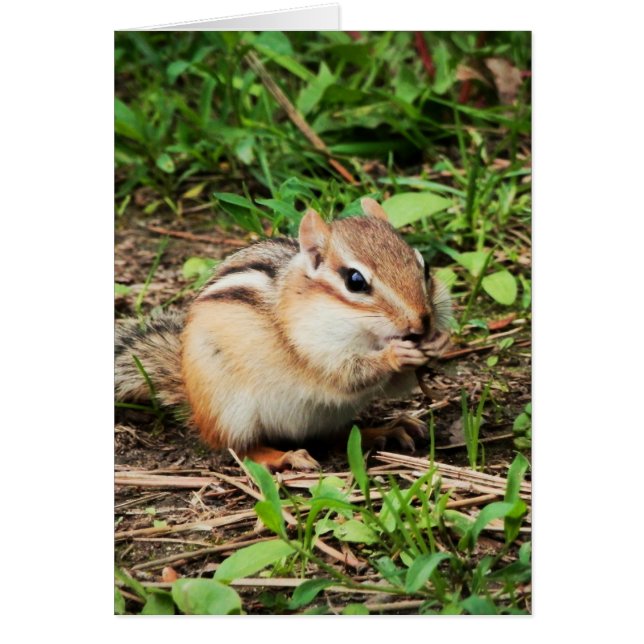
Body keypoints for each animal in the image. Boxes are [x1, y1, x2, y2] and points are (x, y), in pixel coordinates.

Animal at [115, 198, 452, 471]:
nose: (421, 323)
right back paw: (285, 456)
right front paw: (395, 354)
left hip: (328, 416)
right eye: (355, 281)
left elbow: (397, 386)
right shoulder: (313, 347)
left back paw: (385, 431)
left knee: (338, 435)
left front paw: (440, 342)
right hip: (231, 412)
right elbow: (346, 375)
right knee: (240, 449)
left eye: (425, 267)